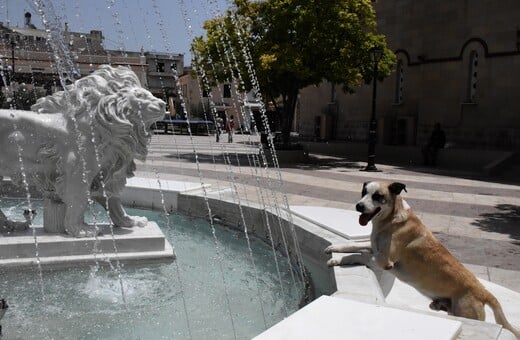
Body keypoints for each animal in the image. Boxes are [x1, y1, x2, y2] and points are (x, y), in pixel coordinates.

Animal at [324, 181, 520, 338]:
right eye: (363, 192)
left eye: (377, 196)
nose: (358, 206)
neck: (390, 219)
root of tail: (484, 292)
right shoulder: (373, 247)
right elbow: (352, 246)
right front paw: (333, 248)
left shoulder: (383, 260)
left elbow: (357, 255)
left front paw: (337, 261)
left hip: (465, 312)